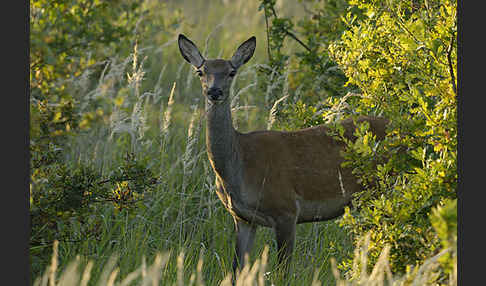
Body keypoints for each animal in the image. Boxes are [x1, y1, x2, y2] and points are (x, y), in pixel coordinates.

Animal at [177, 34, 390, 280]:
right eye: (201, 71)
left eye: (231, 72)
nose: (214, 91)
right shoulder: (243, 218)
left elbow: (282, 272)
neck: (239, 164)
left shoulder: (286, 210)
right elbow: (237, 269)